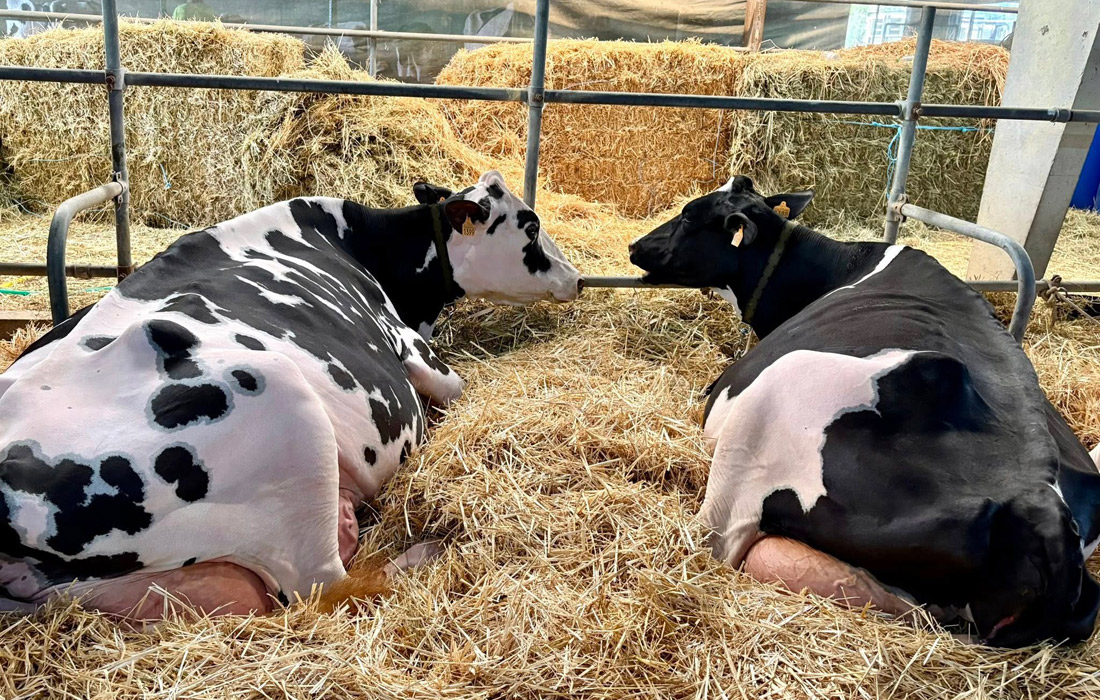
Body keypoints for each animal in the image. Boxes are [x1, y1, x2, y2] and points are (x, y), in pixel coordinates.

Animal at [0, 170, 580, 620]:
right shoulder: (413, 348)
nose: (576, 278)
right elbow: (453, 389)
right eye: (531, 226)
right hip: (287, 412)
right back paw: (429, 550)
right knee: (329, 584)